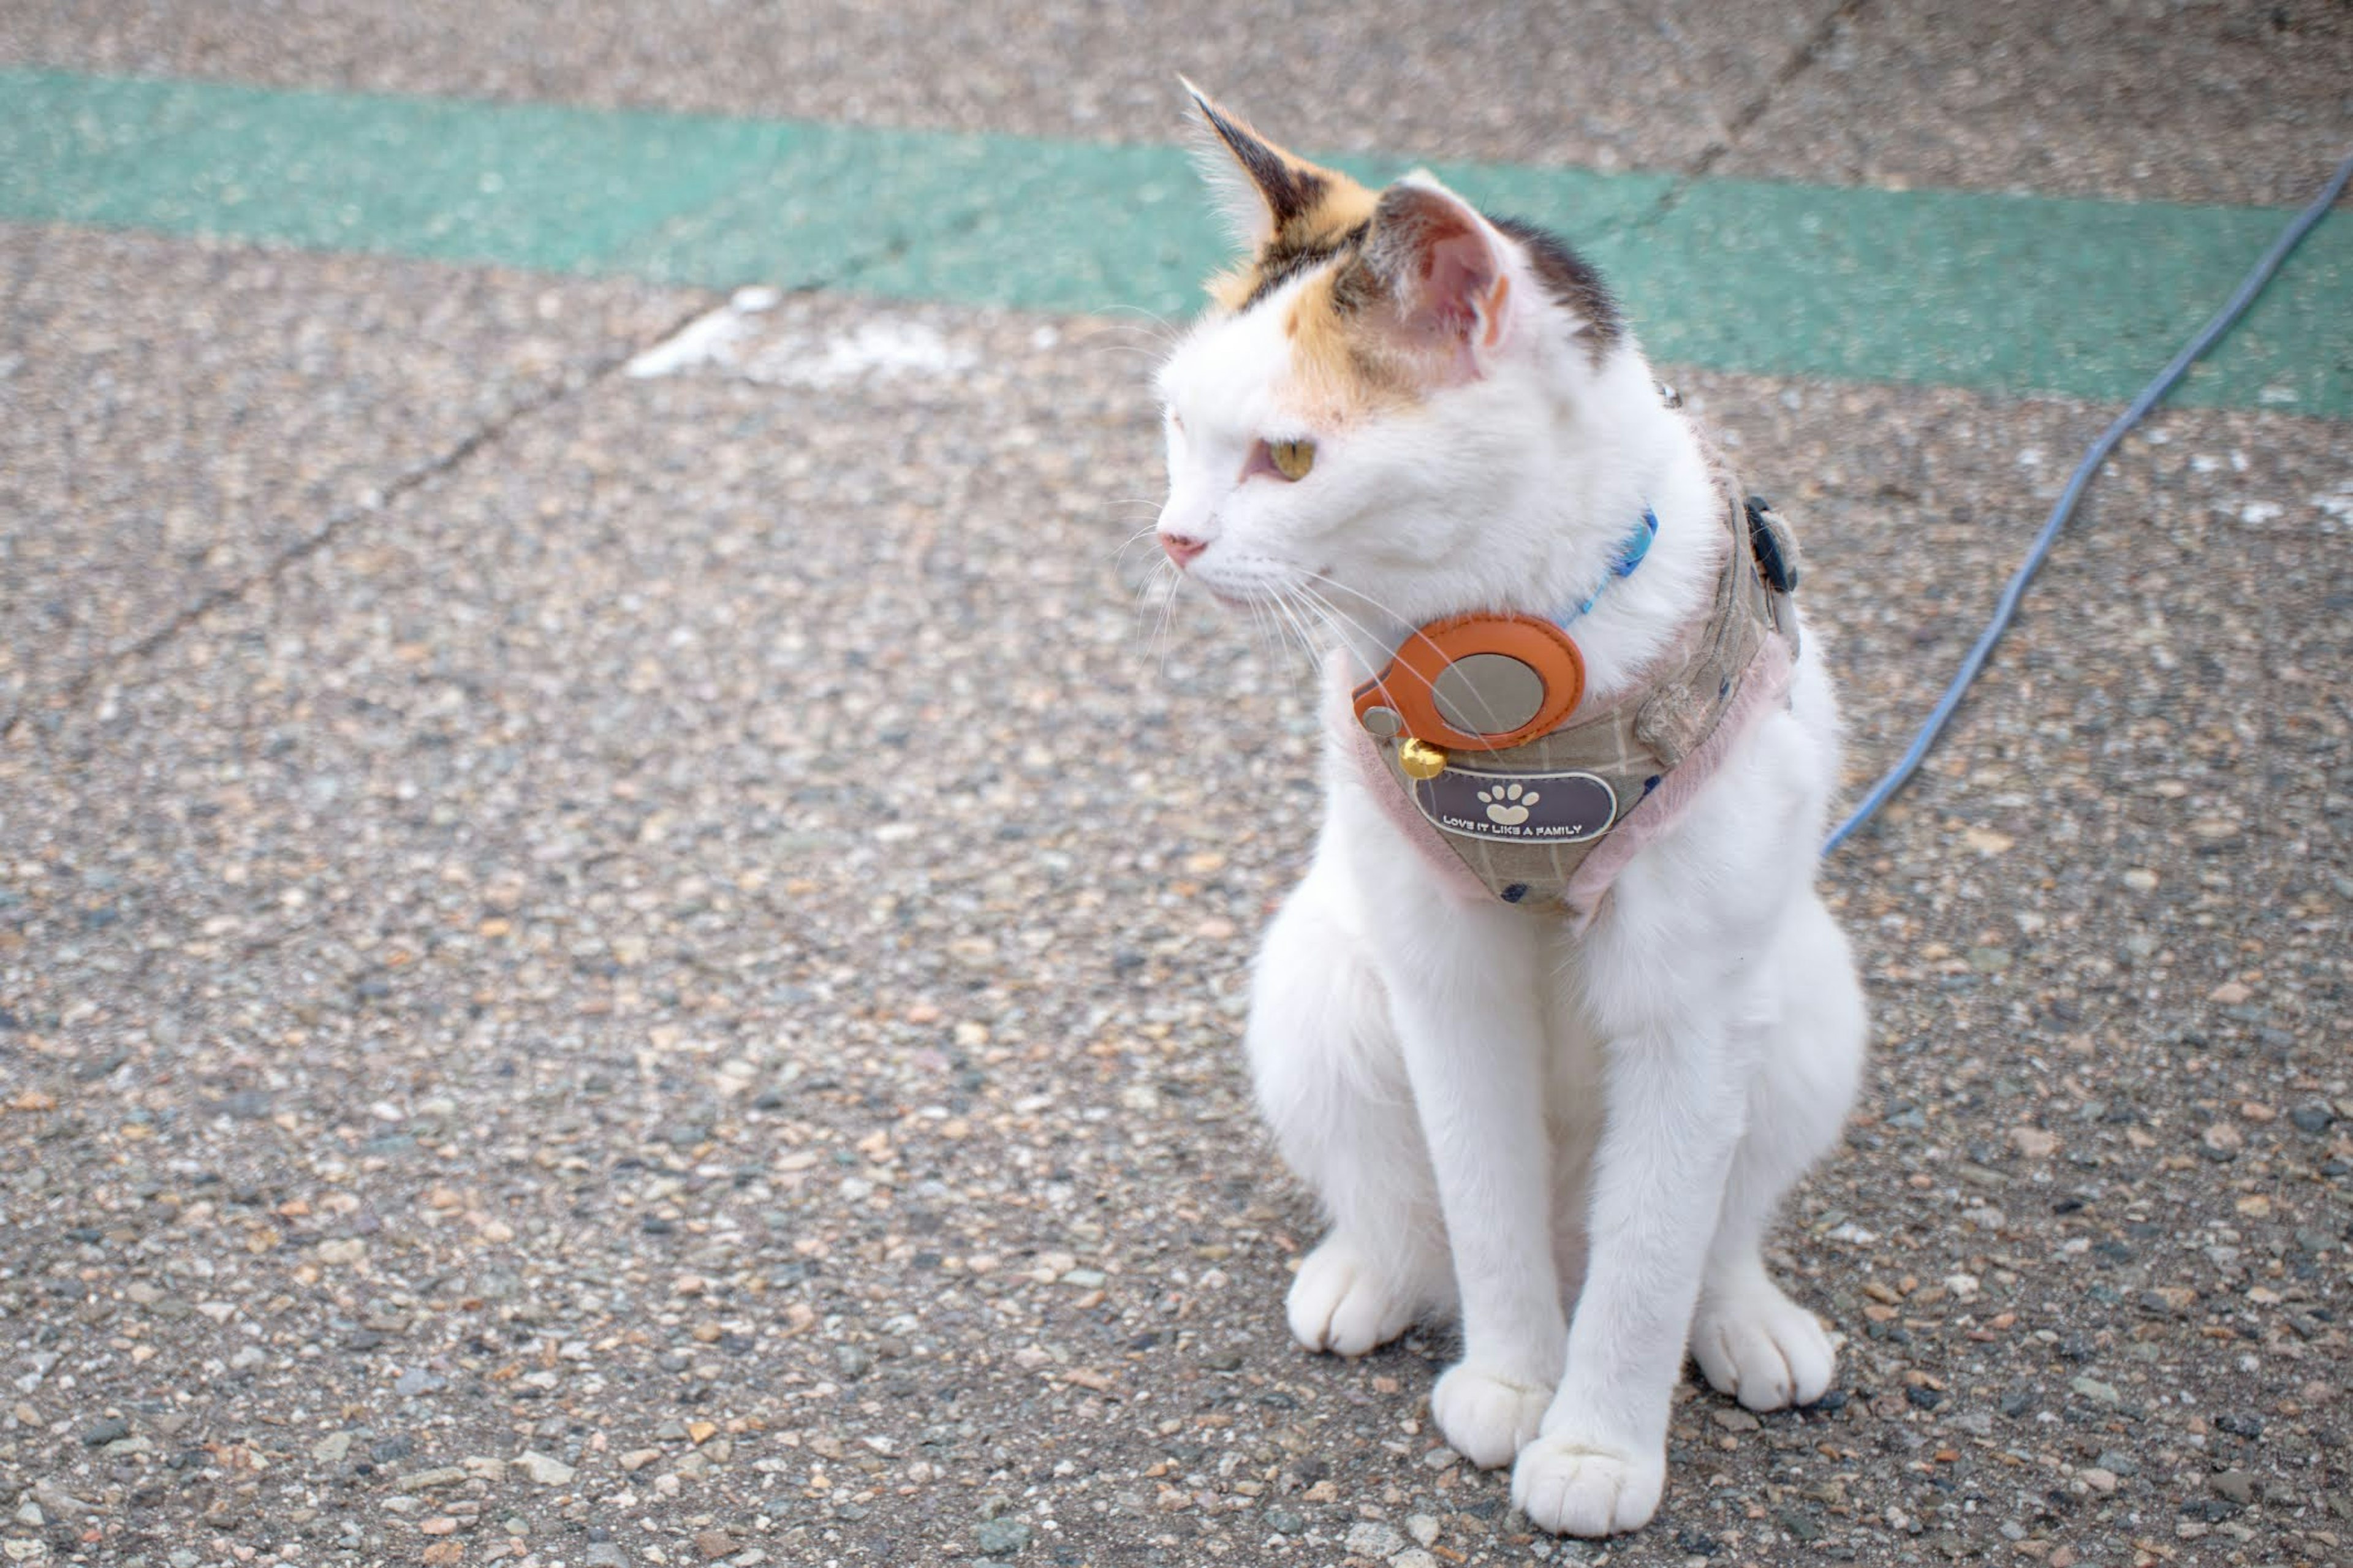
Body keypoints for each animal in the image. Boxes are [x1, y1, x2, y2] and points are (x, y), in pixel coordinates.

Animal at [1148, 79, 1863, 1535]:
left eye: (1290, 456)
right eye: (1180, 427)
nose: (1174, 539)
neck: (1492, 659)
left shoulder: (1692, 1008)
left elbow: (1654, 1252)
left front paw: (1596, 1445)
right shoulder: (1443, 976)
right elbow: (1481, 1198)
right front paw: (1516, 1380)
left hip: (1808, 1000)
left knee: (1706, 1223)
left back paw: (1745, 1317)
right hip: (1320, 980)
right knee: (1412, 1202)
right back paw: (1373, 1272)